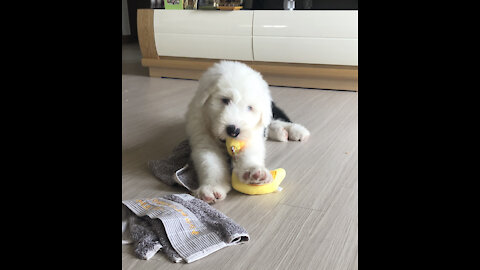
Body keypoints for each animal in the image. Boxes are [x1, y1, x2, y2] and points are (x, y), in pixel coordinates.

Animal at [186, 59, 310, 202]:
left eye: (250, 107)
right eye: (225, 100)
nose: (233, 130)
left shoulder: (252, 136)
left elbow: (251, 154)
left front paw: (254, 172)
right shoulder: (203, 140)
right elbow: (210, 164)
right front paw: (211, 188)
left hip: (270, 112)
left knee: (274, 120)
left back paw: (296, 131)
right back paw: (281, 133)